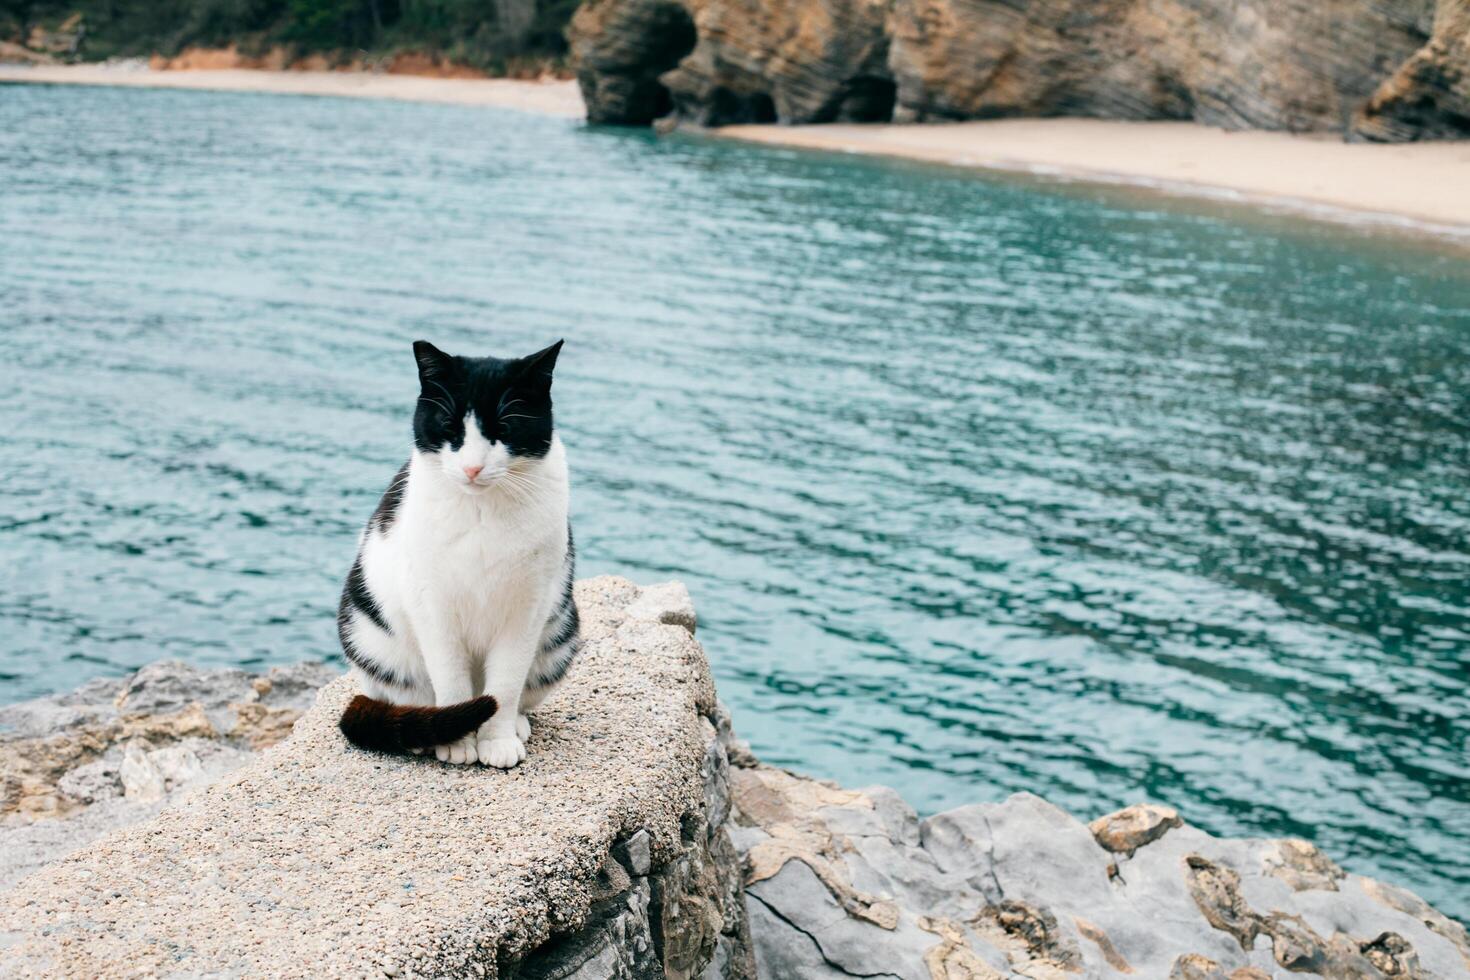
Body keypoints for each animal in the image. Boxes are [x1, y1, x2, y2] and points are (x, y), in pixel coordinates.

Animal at [336, 340, 579, 769]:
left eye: (504, 429)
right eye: (450, 428)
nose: (472, 468)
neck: (482, 510)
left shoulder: (529, 604)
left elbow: (506, 682)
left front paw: (497, 740)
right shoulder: (430, 600)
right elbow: (449, 675)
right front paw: (457, 742)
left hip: (561, 633)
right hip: (368, 636)